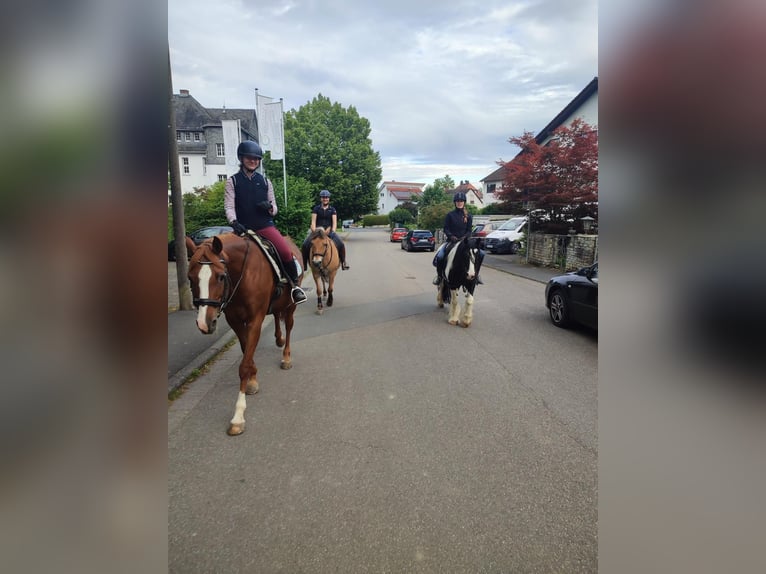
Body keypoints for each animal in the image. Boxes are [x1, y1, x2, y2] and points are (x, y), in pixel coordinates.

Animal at [186, 234, 304, 436]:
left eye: (220, 277)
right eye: (190, 277)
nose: (204, 323)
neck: (243, 273)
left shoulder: (254, 321)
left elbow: (244, 365)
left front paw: (238, 416)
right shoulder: (235, 321)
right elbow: (246, 352)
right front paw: (253, 380)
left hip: (291, 305)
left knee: (288, 326)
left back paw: (286, 357)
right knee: (277, 317)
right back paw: (278, 339)